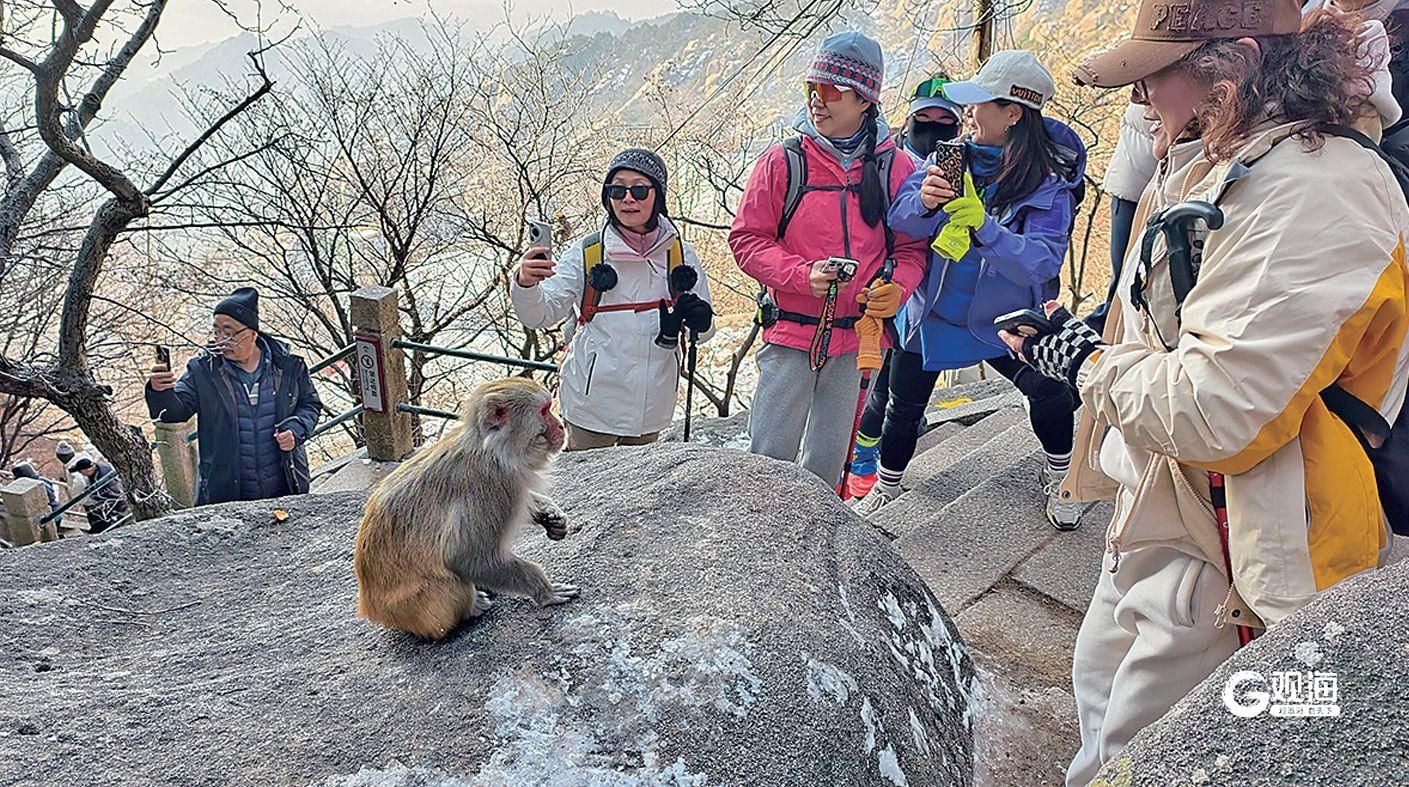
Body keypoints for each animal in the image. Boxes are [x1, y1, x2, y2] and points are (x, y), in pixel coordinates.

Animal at [353, 377, 579, 640]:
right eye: (544, 410)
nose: (561, 426)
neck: (495, 450)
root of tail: (370, 608)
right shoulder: (492, 486)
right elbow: (464, 556)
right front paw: (546, 591)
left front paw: (551, 515)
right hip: (415, 608)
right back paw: (472, 607)